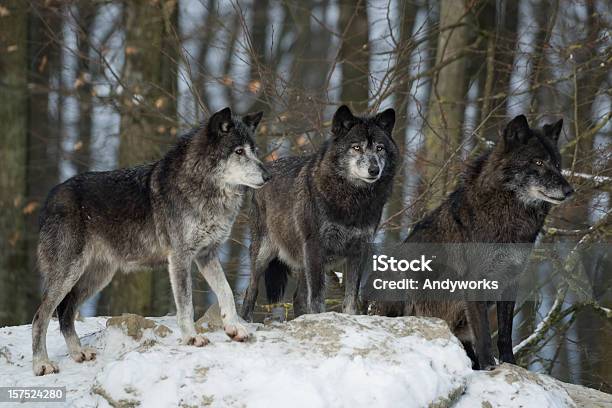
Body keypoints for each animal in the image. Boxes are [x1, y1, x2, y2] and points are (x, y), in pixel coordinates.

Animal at [31, 107, 270, 374]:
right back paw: (41, 363)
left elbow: (226, 291)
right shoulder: (180, 257)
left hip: (97, 277)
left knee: (65, 311)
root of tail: (50, 198)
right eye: (238, 151)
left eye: (255, 150)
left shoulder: (206, 255)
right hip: (69, 274)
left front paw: (235, 329)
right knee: (41, 316)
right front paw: (191, 337)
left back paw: (77, 353)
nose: (268, 175)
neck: (203, 186)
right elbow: (185, 303)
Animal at [241, 103, 400, 320]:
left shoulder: (359, 250)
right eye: (356, 147)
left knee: (298, 298)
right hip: (263, 255)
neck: (352, 200)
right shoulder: (315, 248)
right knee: (251, 292)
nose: (374, 170)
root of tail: (266, 169)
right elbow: (317, 299)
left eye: (379, 148)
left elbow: (351, 299)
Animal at [372, 114, 572, 370]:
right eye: (537, 162)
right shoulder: (475, 281)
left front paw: (510, 364)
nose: (569, 190)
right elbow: (484, 334)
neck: (509, 216)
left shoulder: (511, 280)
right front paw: (489, 367)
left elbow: (505, 334)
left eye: (557, 164)